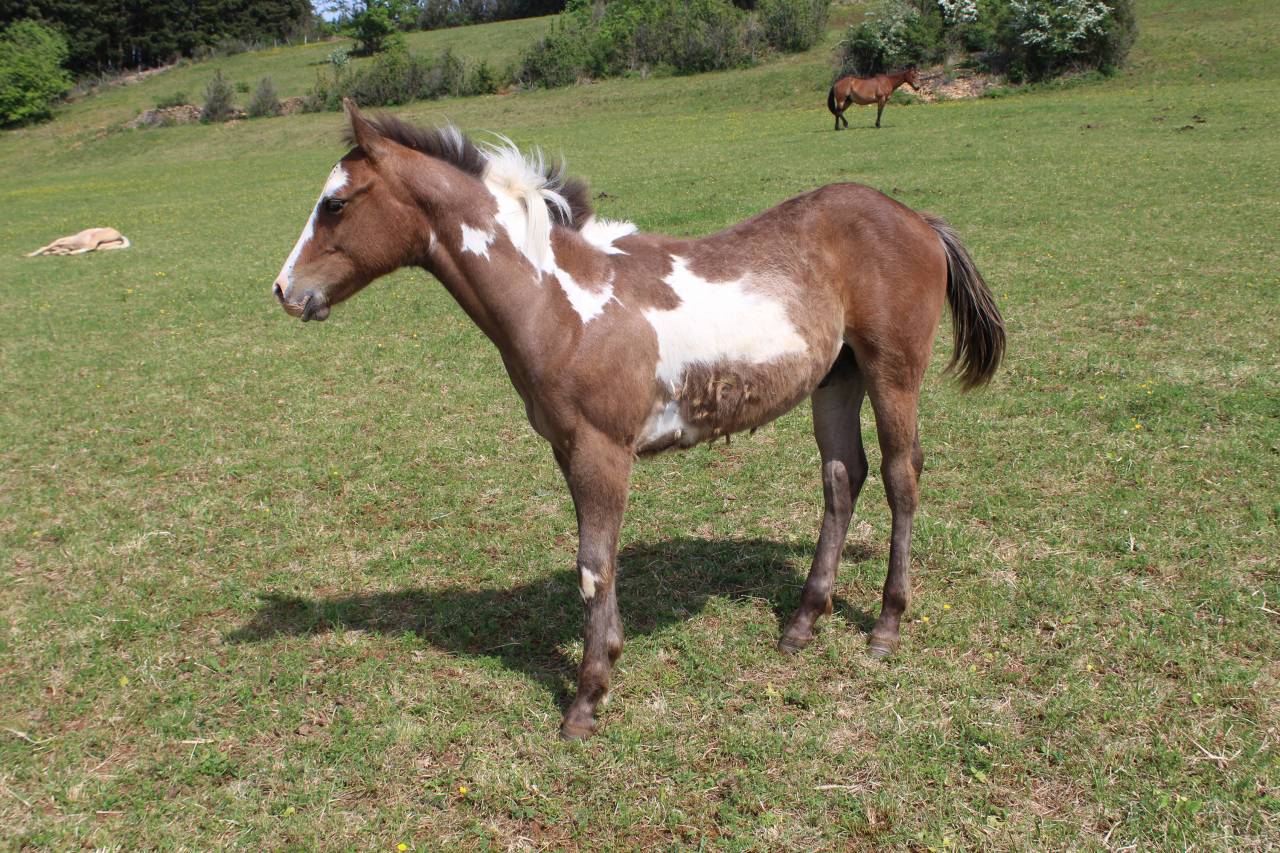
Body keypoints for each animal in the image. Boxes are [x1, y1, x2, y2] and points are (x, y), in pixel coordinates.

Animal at [271, 100, 1005, 739]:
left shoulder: (602, 449)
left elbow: (593, 564)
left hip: (892, 372)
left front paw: (587, 698)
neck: (560, 300)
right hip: (836, 377)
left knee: (901, 476)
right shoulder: (569, 447)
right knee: (842, 477)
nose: (284, 290)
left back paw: (886, 625)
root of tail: (914, 217)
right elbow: (600, 561)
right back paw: (802, 622)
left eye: (335, 203)